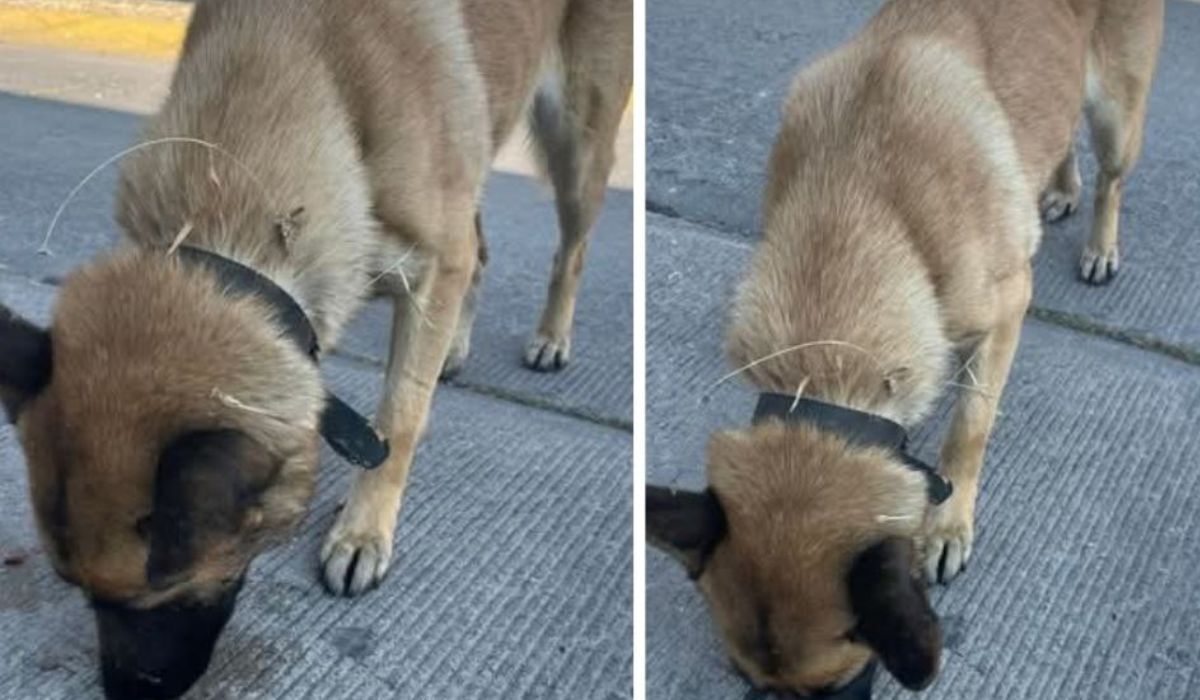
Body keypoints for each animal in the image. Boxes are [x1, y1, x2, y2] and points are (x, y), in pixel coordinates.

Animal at [0, 1, 633, 700]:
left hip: (577, 145)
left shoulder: (432, 269)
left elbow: (398, 422)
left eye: (163, 593)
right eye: (76, 590)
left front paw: (363, 531)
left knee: (570, 250)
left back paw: (551, 336)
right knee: (483, 249)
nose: (124, 692)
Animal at [648, 0, 1161, 696]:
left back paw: (1101, 243)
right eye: (746, 679)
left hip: (1117, 116)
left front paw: (948, 525)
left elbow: (969, 428)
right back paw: (1057, 187)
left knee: (1111, 178)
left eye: (840, 683)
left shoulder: (1008, 306)